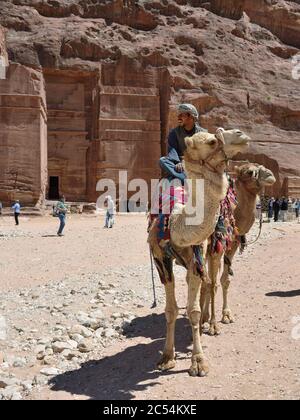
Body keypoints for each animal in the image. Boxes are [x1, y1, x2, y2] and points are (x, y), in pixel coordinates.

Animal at [146, 128, 250, 378]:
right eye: (212, 141)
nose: (241, 134)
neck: (177, 222)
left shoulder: (197, 253)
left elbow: (191, 309)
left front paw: (198, 362)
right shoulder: (160, 258)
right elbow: (171, 310)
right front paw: (166, 357)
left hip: (217, 248)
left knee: (213, 283)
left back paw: (213, 324)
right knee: (206, 284)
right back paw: (204, 325)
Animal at [203, 162, 276, 334]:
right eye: (249, 172)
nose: (270, 174)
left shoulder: (232, 245)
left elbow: (225, 280)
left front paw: (226, 315)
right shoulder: (217, 247)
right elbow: (213, 285)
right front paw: (213, 325)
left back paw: (204, 316)